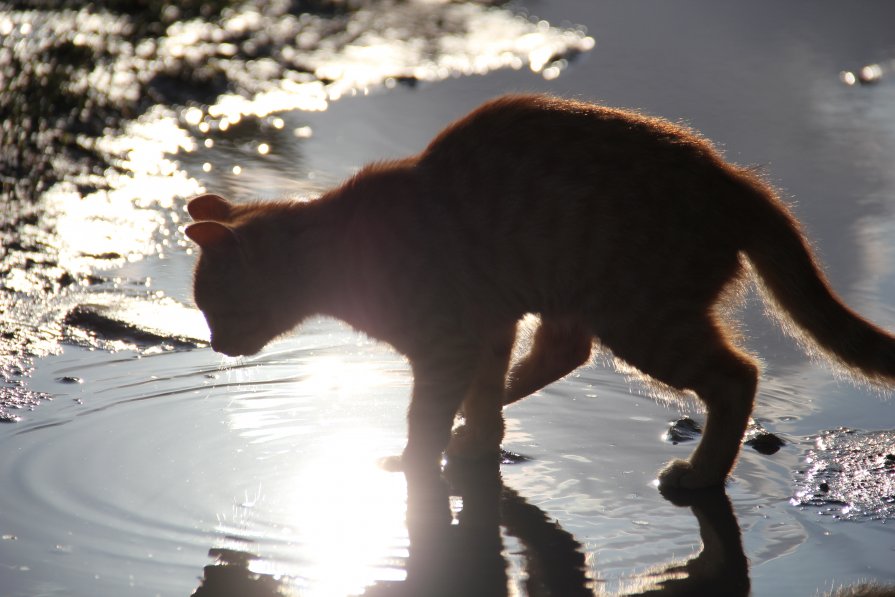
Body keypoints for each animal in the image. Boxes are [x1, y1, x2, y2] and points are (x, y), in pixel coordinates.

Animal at [184, 93, 895, 488]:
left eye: (213, 306)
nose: (216, 345)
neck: (339, 250)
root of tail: (734, 176)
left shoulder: (447, 342)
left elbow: (424, 415)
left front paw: (416, 463)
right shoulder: (489, 326)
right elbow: (481, 394)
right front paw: (474, 440)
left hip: (640, 315)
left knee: (736, 377)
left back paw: (699, 475)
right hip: (579, 300)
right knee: (562, 354)